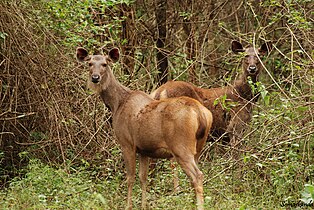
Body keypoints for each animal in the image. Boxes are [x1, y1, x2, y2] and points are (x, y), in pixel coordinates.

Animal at [76, 46, 213, 209]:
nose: (95, 77)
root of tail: (201, 113)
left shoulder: (127, 142)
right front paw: (143, 205)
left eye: (105, 64)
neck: (117, 104)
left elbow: (130, 177)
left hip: (181, 147)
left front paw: (128, 205)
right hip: (198, 147)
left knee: (197, 176)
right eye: (90, 63)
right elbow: (143, 178)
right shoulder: (144, 150)